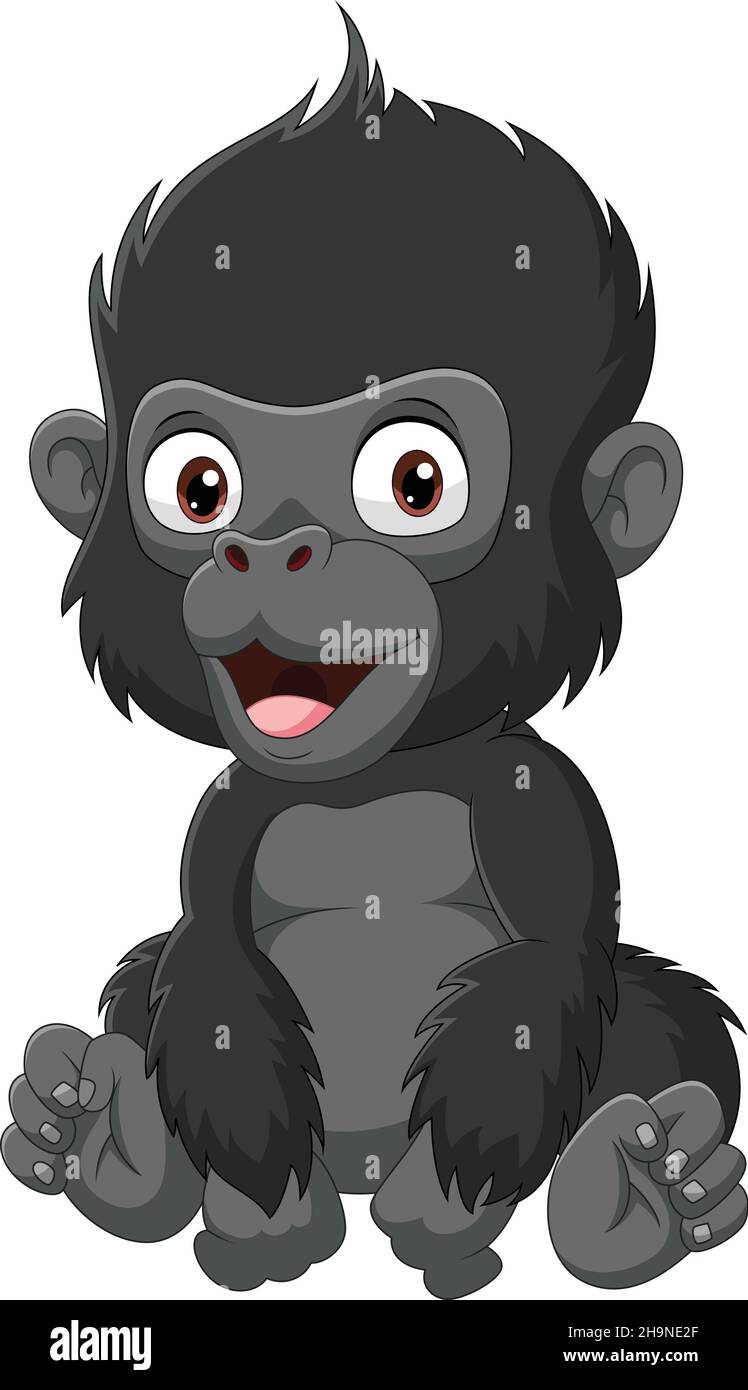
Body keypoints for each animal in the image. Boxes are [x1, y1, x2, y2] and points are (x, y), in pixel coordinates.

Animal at [3, 11, 744, 1299]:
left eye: (413, 480)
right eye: (198, 485)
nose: (266, 548)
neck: (379, 778)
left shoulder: (536, 792)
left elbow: (548, 965)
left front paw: (466, 1170)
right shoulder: (232, 802)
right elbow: (199, 952)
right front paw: (241, 1145)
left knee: (658, 1026)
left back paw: (632, 1191)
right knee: (139, 991)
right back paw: (118, 1147)